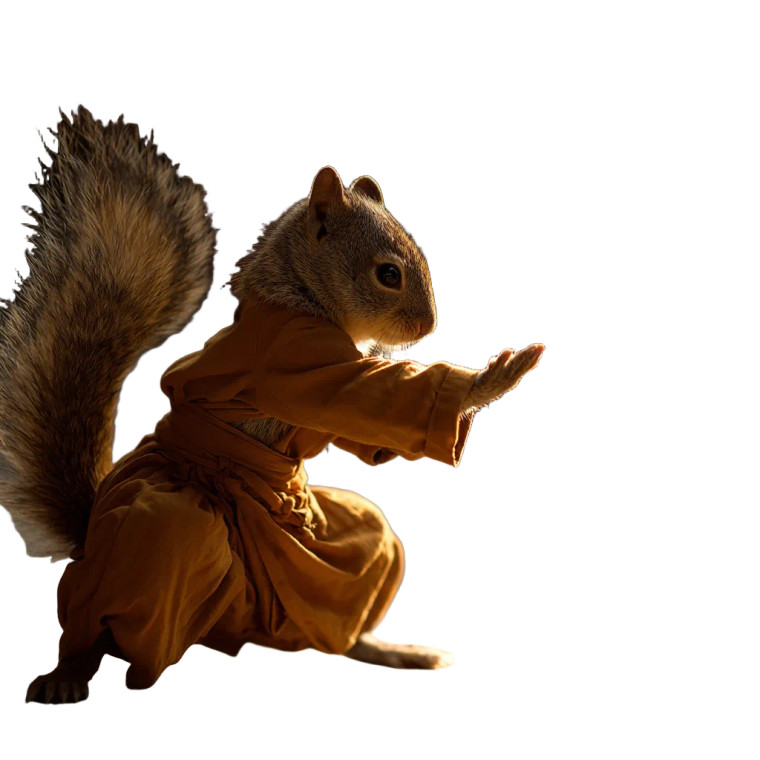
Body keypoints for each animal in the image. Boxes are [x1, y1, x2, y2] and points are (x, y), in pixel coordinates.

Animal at [0, 106, 544, 704]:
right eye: (388, 273)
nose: (428, 327)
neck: (300, 293)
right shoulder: (296, 359)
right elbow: (370, 394)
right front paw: (487, 382)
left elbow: (369, 437)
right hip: (148, 539)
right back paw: (69, 671)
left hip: (348, 549)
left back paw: (382, 649)